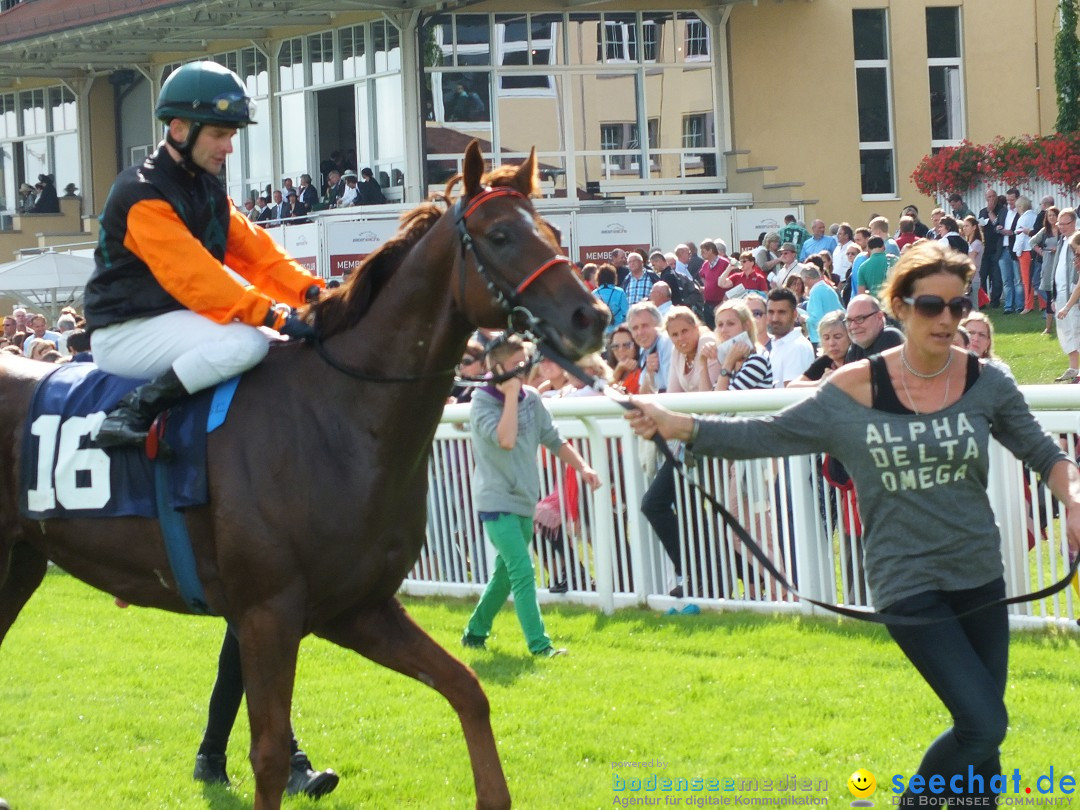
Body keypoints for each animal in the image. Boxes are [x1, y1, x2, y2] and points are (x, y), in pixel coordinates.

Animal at [0, 144, 609, 810]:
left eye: (550, 231)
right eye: (500, 235)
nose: (592, 315)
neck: (337, 413)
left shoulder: (357, 608)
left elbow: (466, 688)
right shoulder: (269, 612)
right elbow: (266, 754)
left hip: (21, 563)